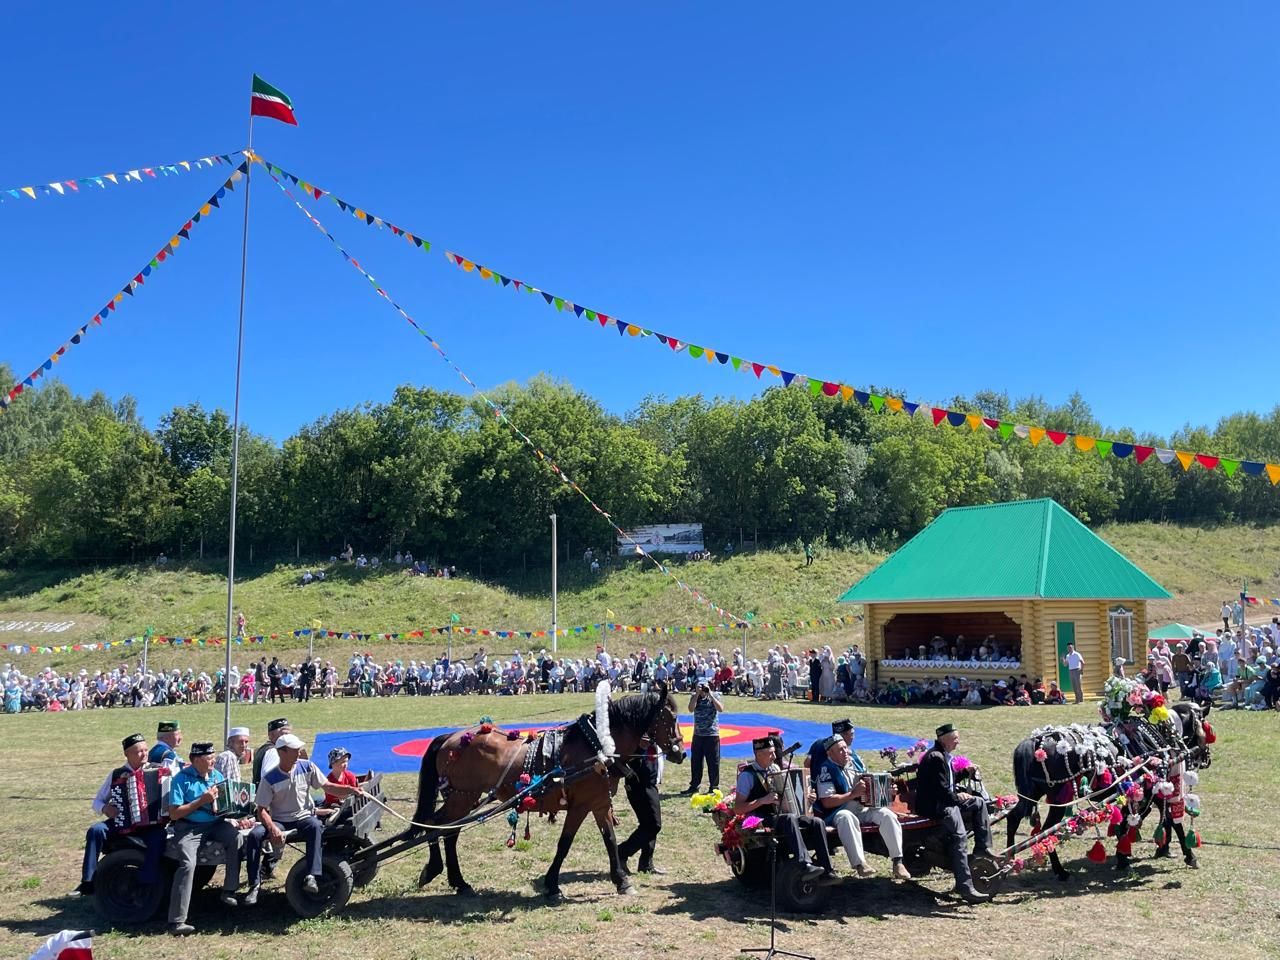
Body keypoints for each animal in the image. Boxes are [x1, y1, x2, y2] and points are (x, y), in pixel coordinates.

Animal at [412, 680, 691, 901]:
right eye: (671, 718)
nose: (681, 752)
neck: (596, 746)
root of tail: (450, 737)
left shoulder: (599, 803)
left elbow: (610, 841)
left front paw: (621, 880)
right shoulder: (581, 805)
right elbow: (564, 844)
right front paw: (552, 885)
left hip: (464, 799)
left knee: (448, 831)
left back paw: (458, 882)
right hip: (462, 798)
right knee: (434, 826)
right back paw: (436, 870)